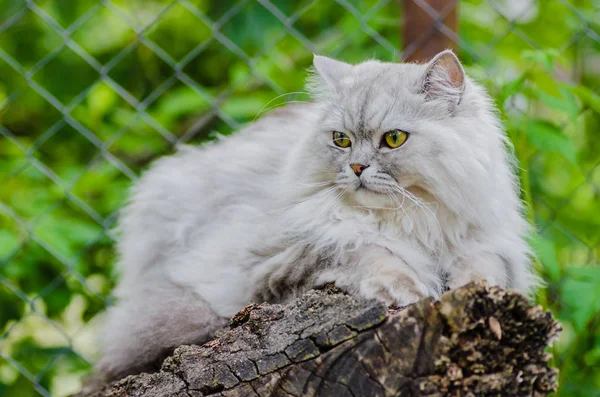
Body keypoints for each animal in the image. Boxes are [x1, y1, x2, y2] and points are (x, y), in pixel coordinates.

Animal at [96, 51, 536, 378]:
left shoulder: (488, 241)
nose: (356, 168)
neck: (410, 218)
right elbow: (368, 251)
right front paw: (406, 290)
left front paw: (475, 292)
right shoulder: (283, 259)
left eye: (394, 139)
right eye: (341, 140)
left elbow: (483, 270)